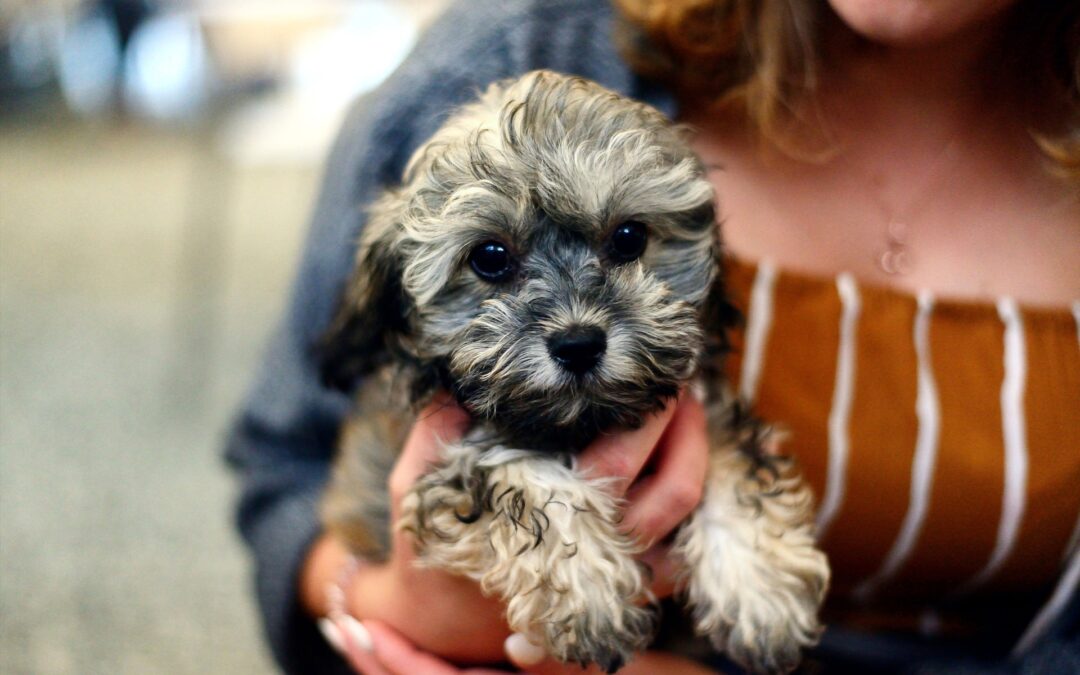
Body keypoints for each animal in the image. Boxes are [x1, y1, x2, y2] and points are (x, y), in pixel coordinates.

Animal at [317, 71, 825, 669]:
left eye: (629, 238)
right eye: (490, 257)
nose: (578, 344)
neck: (581, 422)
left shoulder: (703, 407)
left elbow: (733, 463)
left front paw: (759, 590)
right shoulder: (451, 453)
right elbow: (521, 478)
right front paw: (588, 589)